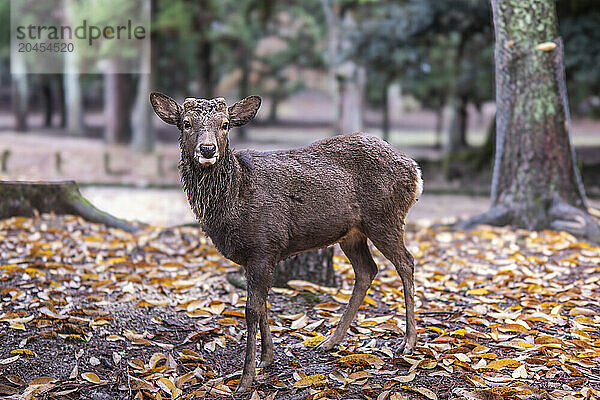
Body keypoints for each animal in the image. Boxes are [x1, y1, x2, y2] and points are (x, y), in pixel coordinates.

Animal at [149, 92, 422, 392]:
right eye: (186, 123)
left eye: (225, 124)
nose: (207, 149)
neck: (235, 201)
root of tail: (416, 170)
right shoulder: (257, 255)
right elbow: (262, 305)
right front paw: (267, 357)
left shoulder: (264, 245)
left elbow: (251, 309)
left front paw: (245, 379)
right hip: (352, 233)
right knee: (367, 270)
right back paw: (330, 341)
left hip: (384, 217)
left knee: (406, 262)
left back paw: (407, 343)